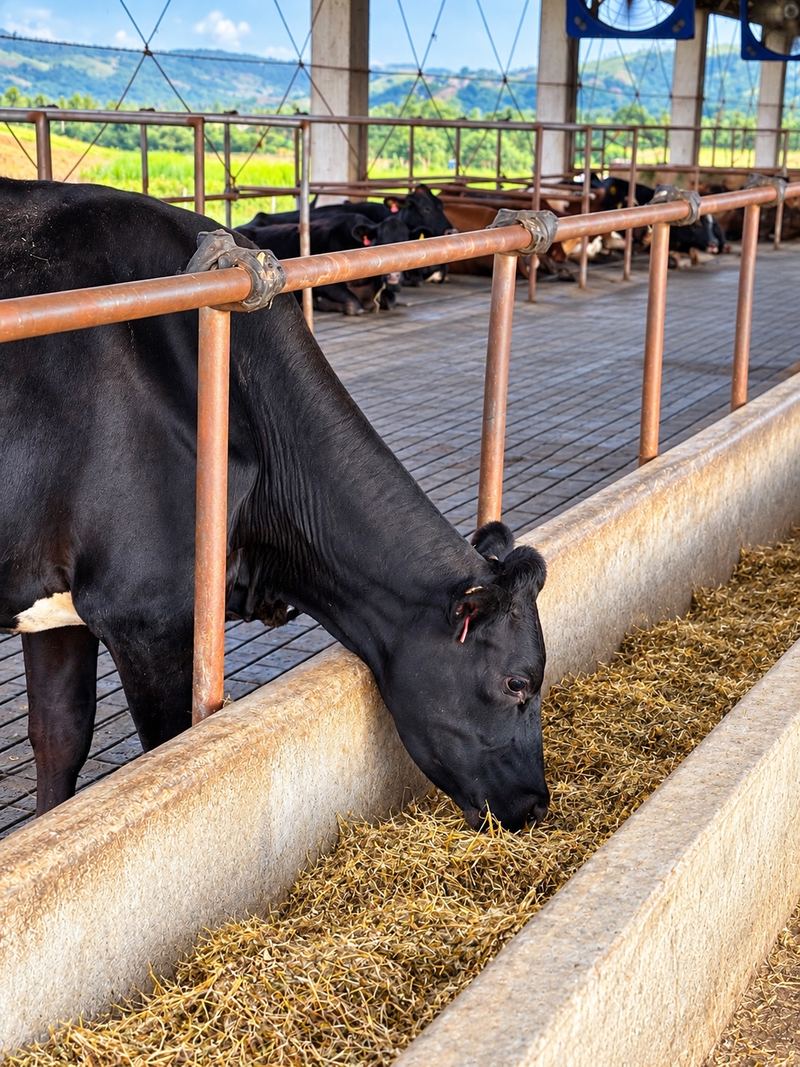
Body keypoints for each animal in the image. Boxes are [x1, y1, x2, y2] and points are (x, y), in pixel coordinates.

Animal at [0, 177, 549, 832]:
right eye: (518, 683)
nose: (537, 802)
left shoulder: (56, 607)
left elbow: (59, 738)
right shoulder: (146, 614)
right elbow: (163, 751)